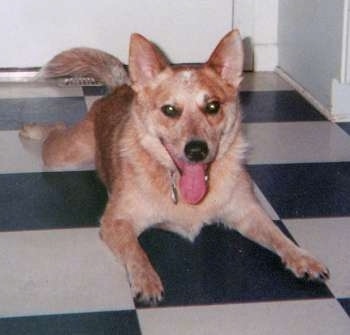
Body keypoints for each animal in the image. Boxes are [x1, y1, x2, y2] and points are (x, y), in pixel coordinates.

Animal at [20, 30, 330, 306]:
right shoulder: (115, 222)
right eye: (170, 110)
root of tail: (122, 87)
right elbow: (136, 251)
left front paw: (302, 257)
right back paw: (34, 129)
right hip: (65, 154)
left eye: (213, 106)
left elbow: (278, 235)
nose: (196, 150)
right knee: (56, 132)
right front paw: (146, 279)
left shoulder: (247, 213)